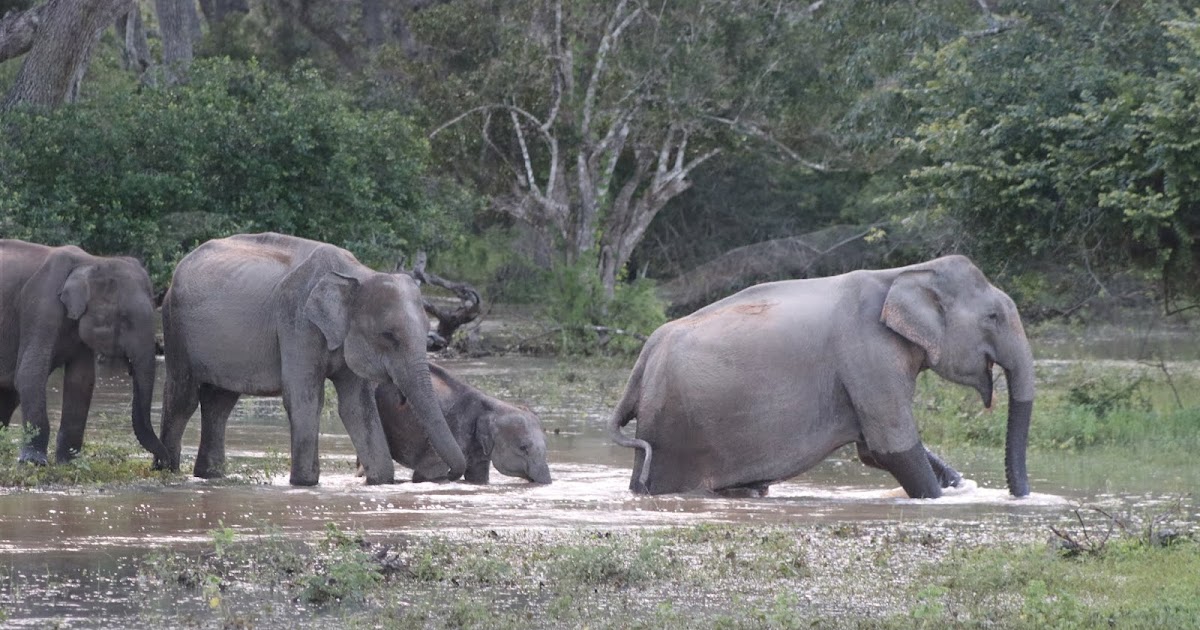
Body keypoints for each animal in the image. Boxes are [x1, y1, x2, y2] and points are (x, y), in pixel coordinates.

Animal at [0, 239, 169, 465]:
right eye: (124, 318)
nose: (163, 463)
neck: (92, 261)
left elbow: (81, 382)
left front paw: (68, 462)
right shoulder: (40, 305)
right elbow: (30, 374)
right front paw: (34, 462)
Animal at [156, 232, 466, 486]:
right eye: (389, 335)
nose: (445, 475)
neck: (357, 274)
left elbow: (356, 407)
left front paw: (381, 481)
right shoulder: (297, 321)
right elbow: (304, 398)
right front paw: (304, 483)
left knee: (219, 402)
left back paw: (208, 475)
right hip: (175, 324)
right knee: (183, 396)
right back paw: (167, 471)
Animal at [609, 255, 1034, 499]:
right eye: (993, 317)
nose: (1020, 498)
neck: (902, 274)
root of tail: (643, 358)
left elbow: (871, 450)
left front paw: (961, 486)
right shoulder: (867, 352)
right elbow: (892, 447)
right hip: (672, 431)